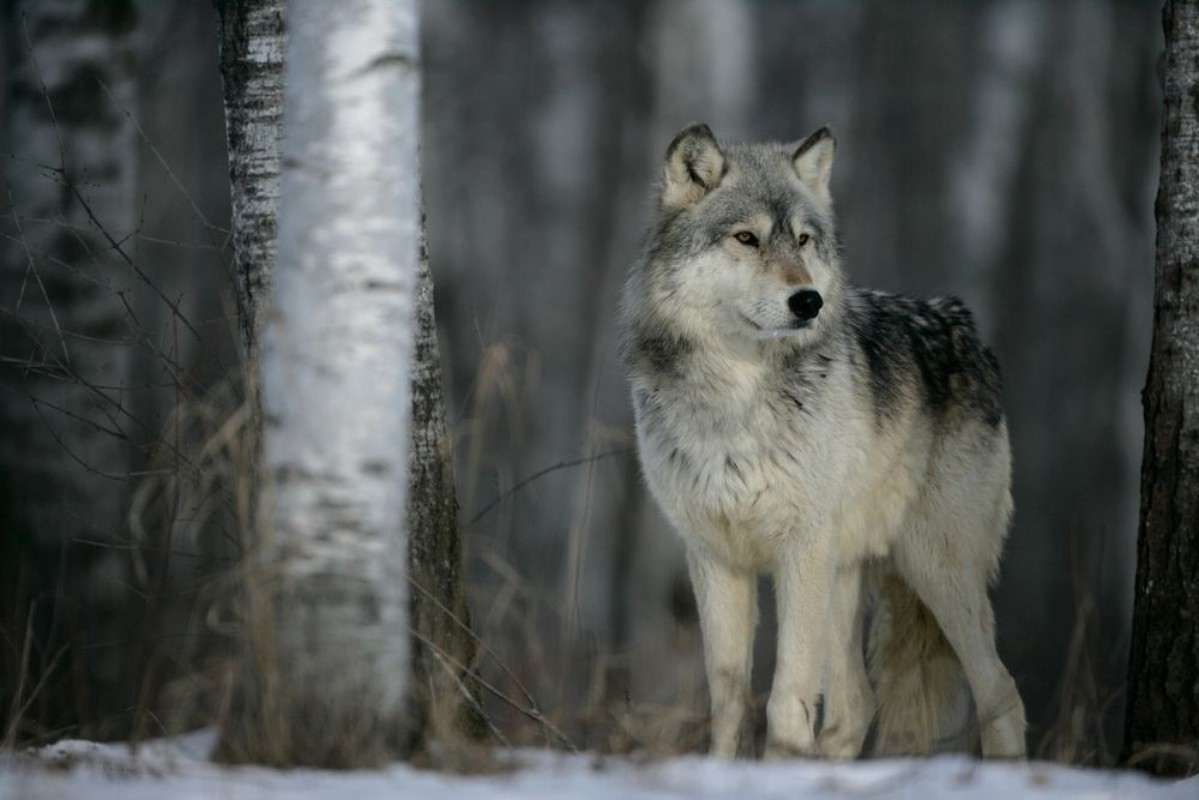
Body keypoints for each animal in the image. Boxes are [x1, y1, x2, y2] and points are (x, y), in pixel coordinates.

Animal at [620, 124, 1026, 760]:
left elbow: (786, 696)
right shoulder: (714, 557)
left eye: (805, 241)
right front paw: (726, 768)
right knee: (856, 705)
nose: (808, 300)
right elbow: (729, 698)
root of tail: (966, 326)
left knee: (1001, 690)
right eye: (747, 238)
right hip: (846, 575)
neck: (737, 397)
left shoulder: (799, 549)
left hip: (934, 568)